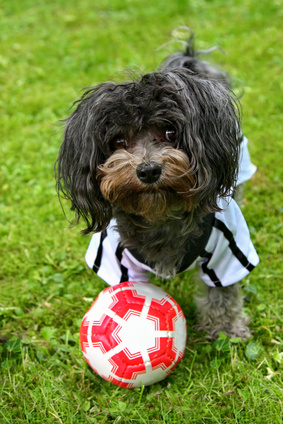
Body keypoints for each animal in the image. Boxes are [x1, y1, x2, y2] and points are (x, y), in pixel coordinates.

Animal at [56, 31, 260, 340]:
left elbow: (221, 295)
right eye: (118, 141)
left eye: (170, 132)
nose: (149, 170)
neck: (160, 214)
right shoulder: (116, 259)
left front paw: (226, 329)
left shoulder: (227, 251)